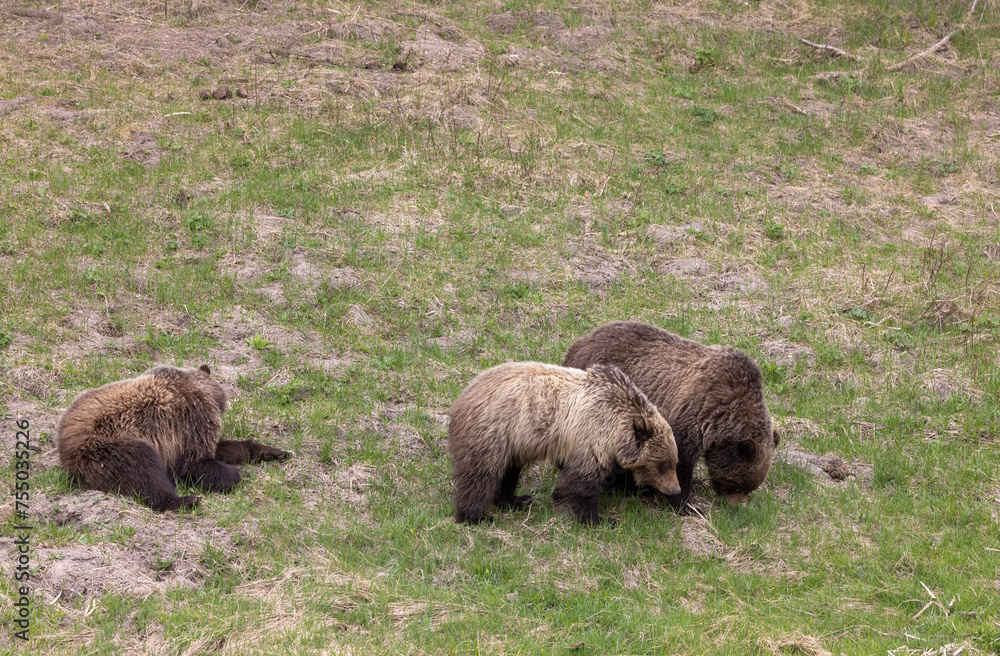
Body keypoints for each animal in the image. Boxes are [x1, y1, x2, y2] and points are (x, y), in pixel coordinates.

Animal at [55, 364, 290, 511]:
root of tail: (65, 450)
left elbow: (222, 448)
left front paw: (273, 451)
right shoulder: (189, 421)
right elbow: (192, 464)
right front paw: (233, 474)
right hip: (107, 447)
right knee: (142, 471)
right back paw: (185, 500)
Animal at [448, 361, 681, 526]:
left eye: (674, 462)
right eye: (663, 465)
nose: (676, 490)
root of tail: (461, 398)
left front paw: (561, 495)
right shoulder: (590, 436)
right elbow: (584, 482)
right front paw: (598, 519)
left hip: (512, 444)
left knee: (508, 473)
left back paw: (516, 500)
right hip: (492, 432)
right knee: (480, 476)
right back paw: (475, 516)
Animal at [562, 322, 779, 511]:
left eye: (751, 487)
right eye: (738, 484)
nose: (737, 506)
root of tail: (577, 344)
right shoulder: (696, 410)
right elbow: (678, 459)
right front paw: (684, 503)